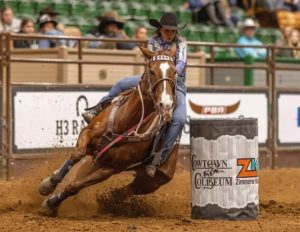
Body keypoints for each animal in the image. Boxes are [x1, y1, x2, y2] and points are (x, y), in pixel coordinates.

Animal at [38, 45, 180, 218]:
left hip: (152, 180)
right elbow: (76, 155)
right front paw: (48, 184)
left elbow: (74, 186)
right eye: (152, 71)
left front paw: (50, 204)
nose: (166, 104)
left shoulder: (110, 168)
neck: (124, 122)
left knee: (124, 191)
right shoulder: (87, 133)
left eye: (174, 72)